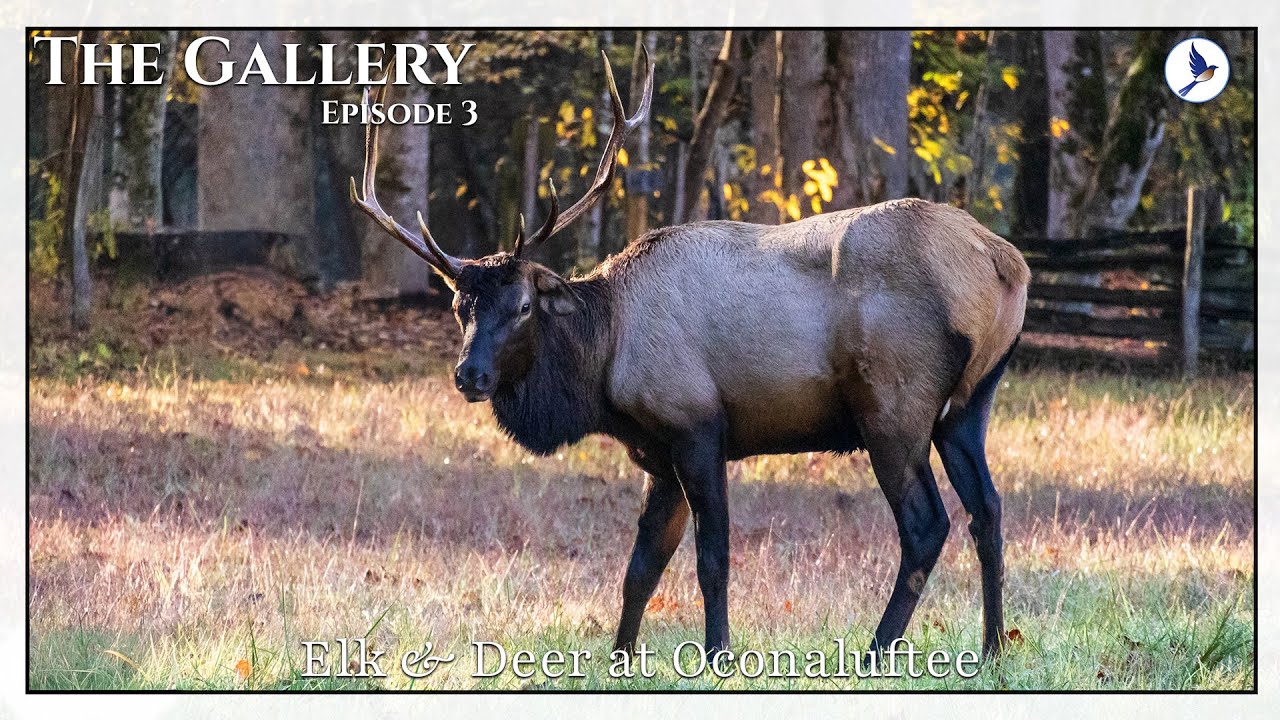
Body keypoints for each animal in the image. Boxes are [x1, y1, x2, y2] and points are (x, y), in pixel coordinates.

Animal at [350, 49, 1029, 661]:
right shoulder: (657, 453)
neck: (604, 371)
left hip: (894, 405)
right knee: (988, 510)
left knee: (926, 524)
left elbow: (712, 557)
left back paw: (875, 651)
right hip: (969, 404)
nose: (470, 375)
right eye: (459, 306)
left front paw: (717, 654)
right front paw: (620, 658)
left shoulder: (696, 424)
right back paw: (994, 646)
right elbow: (641, 565)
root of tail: (1007, 263)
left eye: (521, 306)